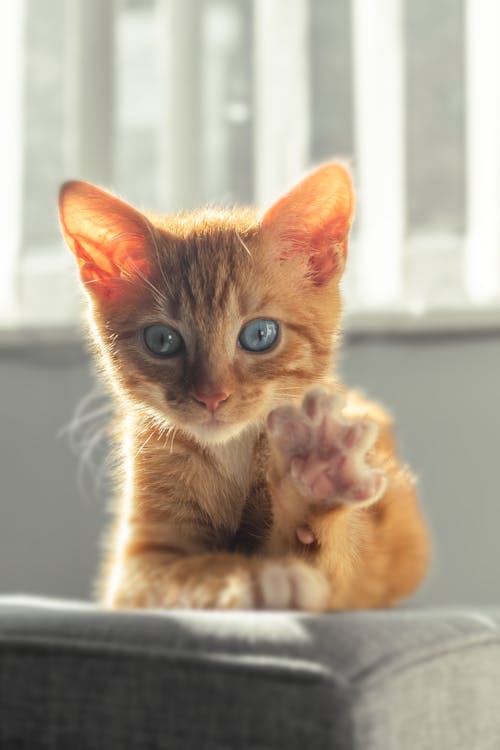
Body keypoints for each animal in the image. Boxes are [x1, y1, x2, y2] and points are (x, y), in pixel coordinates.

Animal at [59, 164, 430, 612]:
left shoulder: (365, 574)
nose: (211, 396)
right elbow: (188, 572)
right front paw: (247, 576)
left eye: (259, 335)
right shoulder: (135, 570)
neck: (229, 453)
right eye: (162, 340)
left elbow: (335, 566)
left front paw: (314, 475)